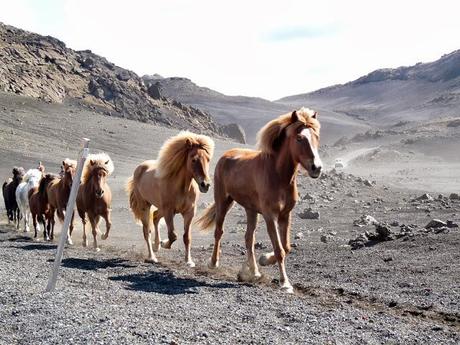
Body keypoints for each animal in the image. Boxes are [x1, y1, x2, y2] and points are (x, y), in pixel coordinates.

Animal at [126, 130, 215, 264]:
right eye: (193, 159)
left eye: (208, 159)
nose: (205, 185)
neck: (182, 188)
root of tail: (140, 168)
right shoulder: (169, 211)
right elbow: (173, 235)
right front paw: (164, 244)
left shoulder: (189, 212)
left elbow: (186, 237)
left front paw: (189, 261)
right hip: (145, 206)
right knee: (147, 231)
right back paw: (152, 256)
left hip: (162, 209)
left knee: (155, 217)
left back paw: (156, 246)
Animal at [196, 109, 322, 292]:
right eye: (299, 138)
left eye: (316, 137)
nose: (316, 168)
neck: (278, 176)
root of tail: (226, 156)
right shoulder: (270, 216)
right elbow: (279, 249)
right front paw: (285, 283)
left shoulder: (285, 215)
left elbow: (286, 247)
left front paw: (265, 259)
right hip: (223, 202)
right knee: (219, 231)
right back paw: (214, 263)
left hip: (251, 210)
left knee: (249, 238)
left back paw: (254, 272)